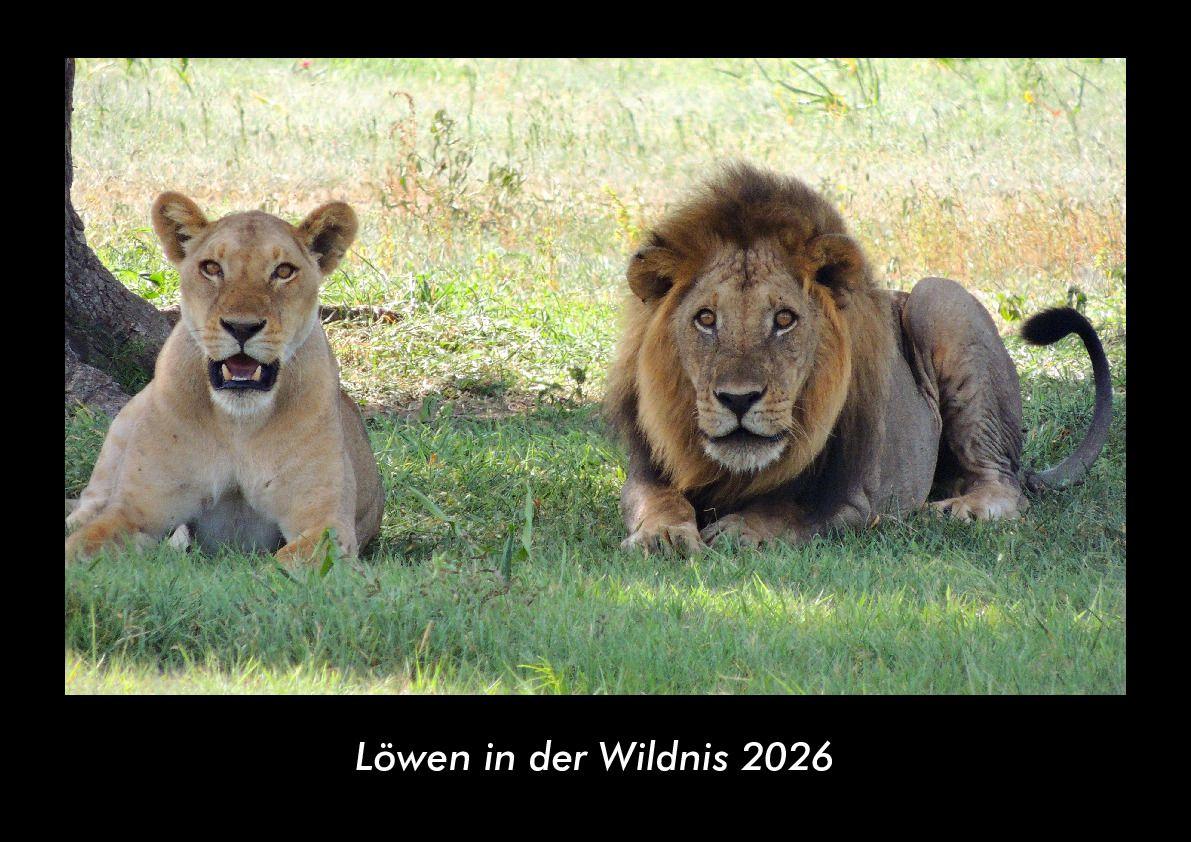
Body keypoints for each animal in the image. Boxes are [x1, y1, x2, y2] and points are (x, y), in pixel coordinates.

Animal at [65, 193, 384, 567]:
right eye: (212, 268)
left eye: (284, 271)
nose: (242, 327)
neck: (238, 425)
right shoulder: (135, 512)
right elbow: (80, 547)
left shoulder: (326, 523)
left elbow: (283, 566)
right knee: (86, 507)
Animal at [605, 164, 1113, 553]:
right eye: (706, 319)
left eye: (784, 319)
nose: (738, 399)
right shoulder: (646, 472)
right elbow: (658, 501)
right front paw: (663, 536)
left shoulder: (855, 497)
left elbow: (789, 509)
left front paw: (740, 530)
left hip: (940, 300)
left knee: (1005, 485)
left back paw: (955, 510)